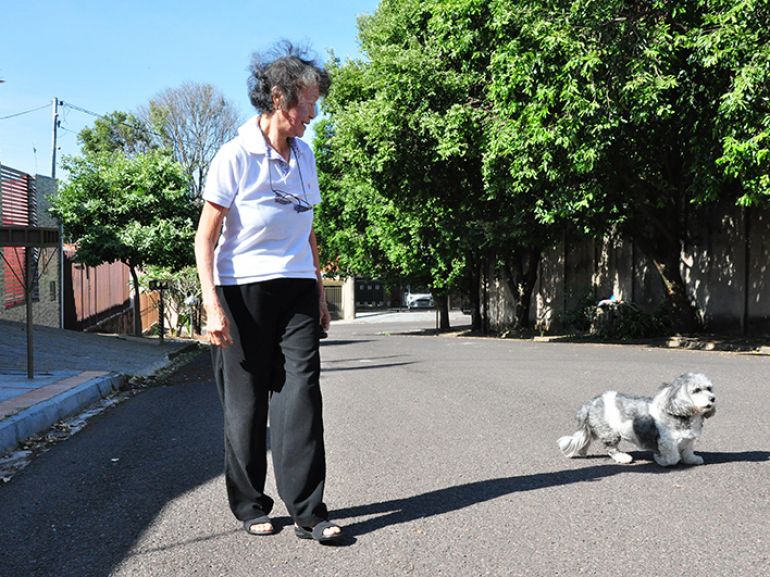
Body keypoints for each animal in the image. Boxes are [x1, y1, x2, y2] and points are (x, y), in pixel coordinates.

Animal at [560, 372, 712, 466]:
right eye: (697, 390)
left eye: (709, 388)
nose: (712, 398)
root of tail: (591, 402)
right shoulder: (666, 442)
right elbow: (673, 458)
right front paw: (661, 460)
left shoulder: (689, 440)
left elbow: (688, 452)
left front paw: (692, 459)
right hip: (610, 432)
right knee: (611, 448)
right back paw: (623, 457)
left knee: (586, 438)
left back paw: (582, 451)